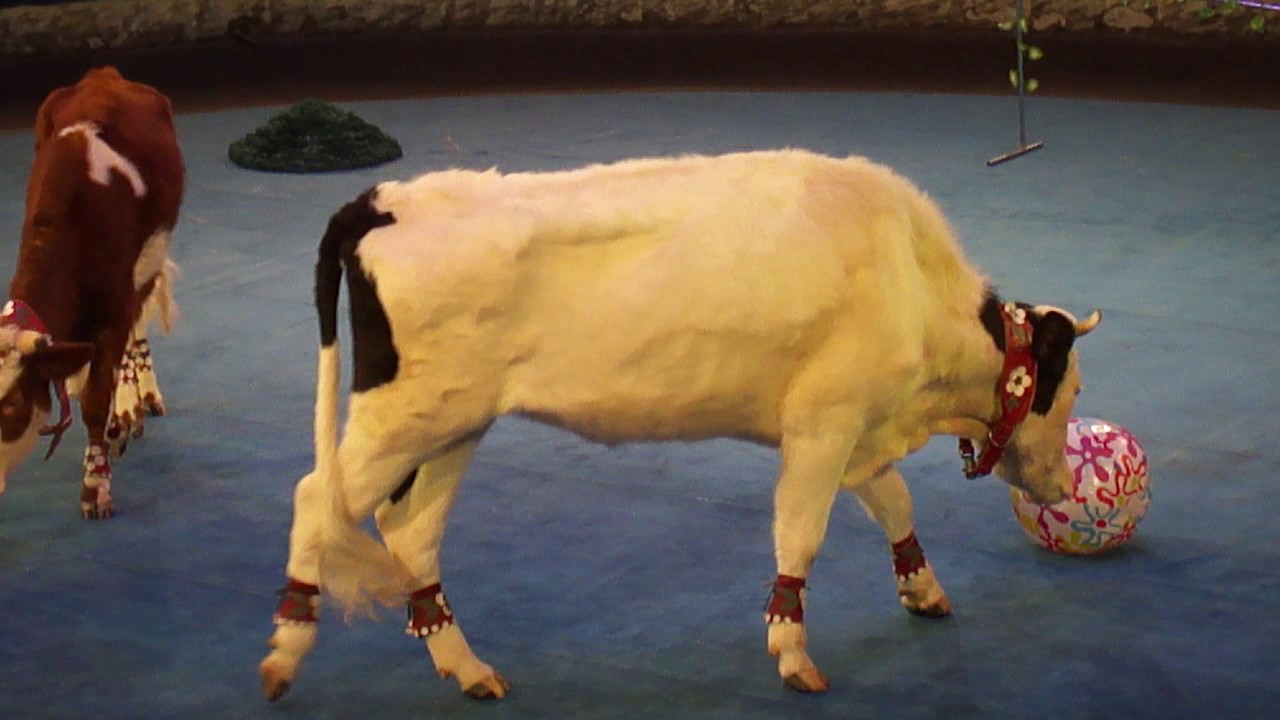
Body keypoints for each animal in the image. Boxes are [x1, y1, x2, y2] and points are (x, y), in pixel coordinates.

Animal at [0, 67, 183, 519]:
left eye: (11, 405)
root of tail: (105, 75)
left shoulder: (115, 306)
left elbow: (98, 400)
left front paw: (96, 486)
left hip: (149, 261)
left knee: (137, 327)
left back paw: (138, 398)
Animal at [259, 149, 1101, 700]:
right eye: (1069, 386)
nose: (1064, 486)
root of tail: (386, 198)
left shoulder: (860, 428)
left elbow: (895, 504)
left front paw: (923, 590)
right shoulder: (823, 421)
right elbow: (801, 533)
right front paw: (791, 649)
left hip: (453, 423)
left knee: (408, 530)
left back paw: (466, 669)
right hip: (401, 415)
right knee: (315, 497)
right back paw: (286, 651)